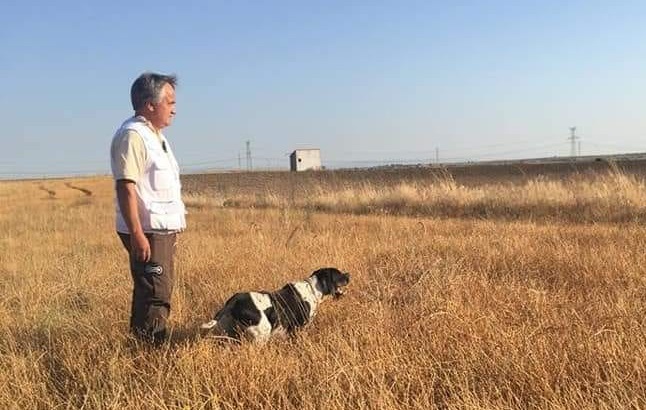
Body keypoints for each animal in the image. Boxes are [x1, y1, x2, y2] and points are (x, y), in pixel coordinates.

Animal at [202, 268, 352, 344]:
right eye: (338, 274)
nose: (349, 275)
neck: (313, 289)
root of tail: (233, 301)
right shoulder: (297, 328)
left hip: (231, 333)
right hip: (262, 334)